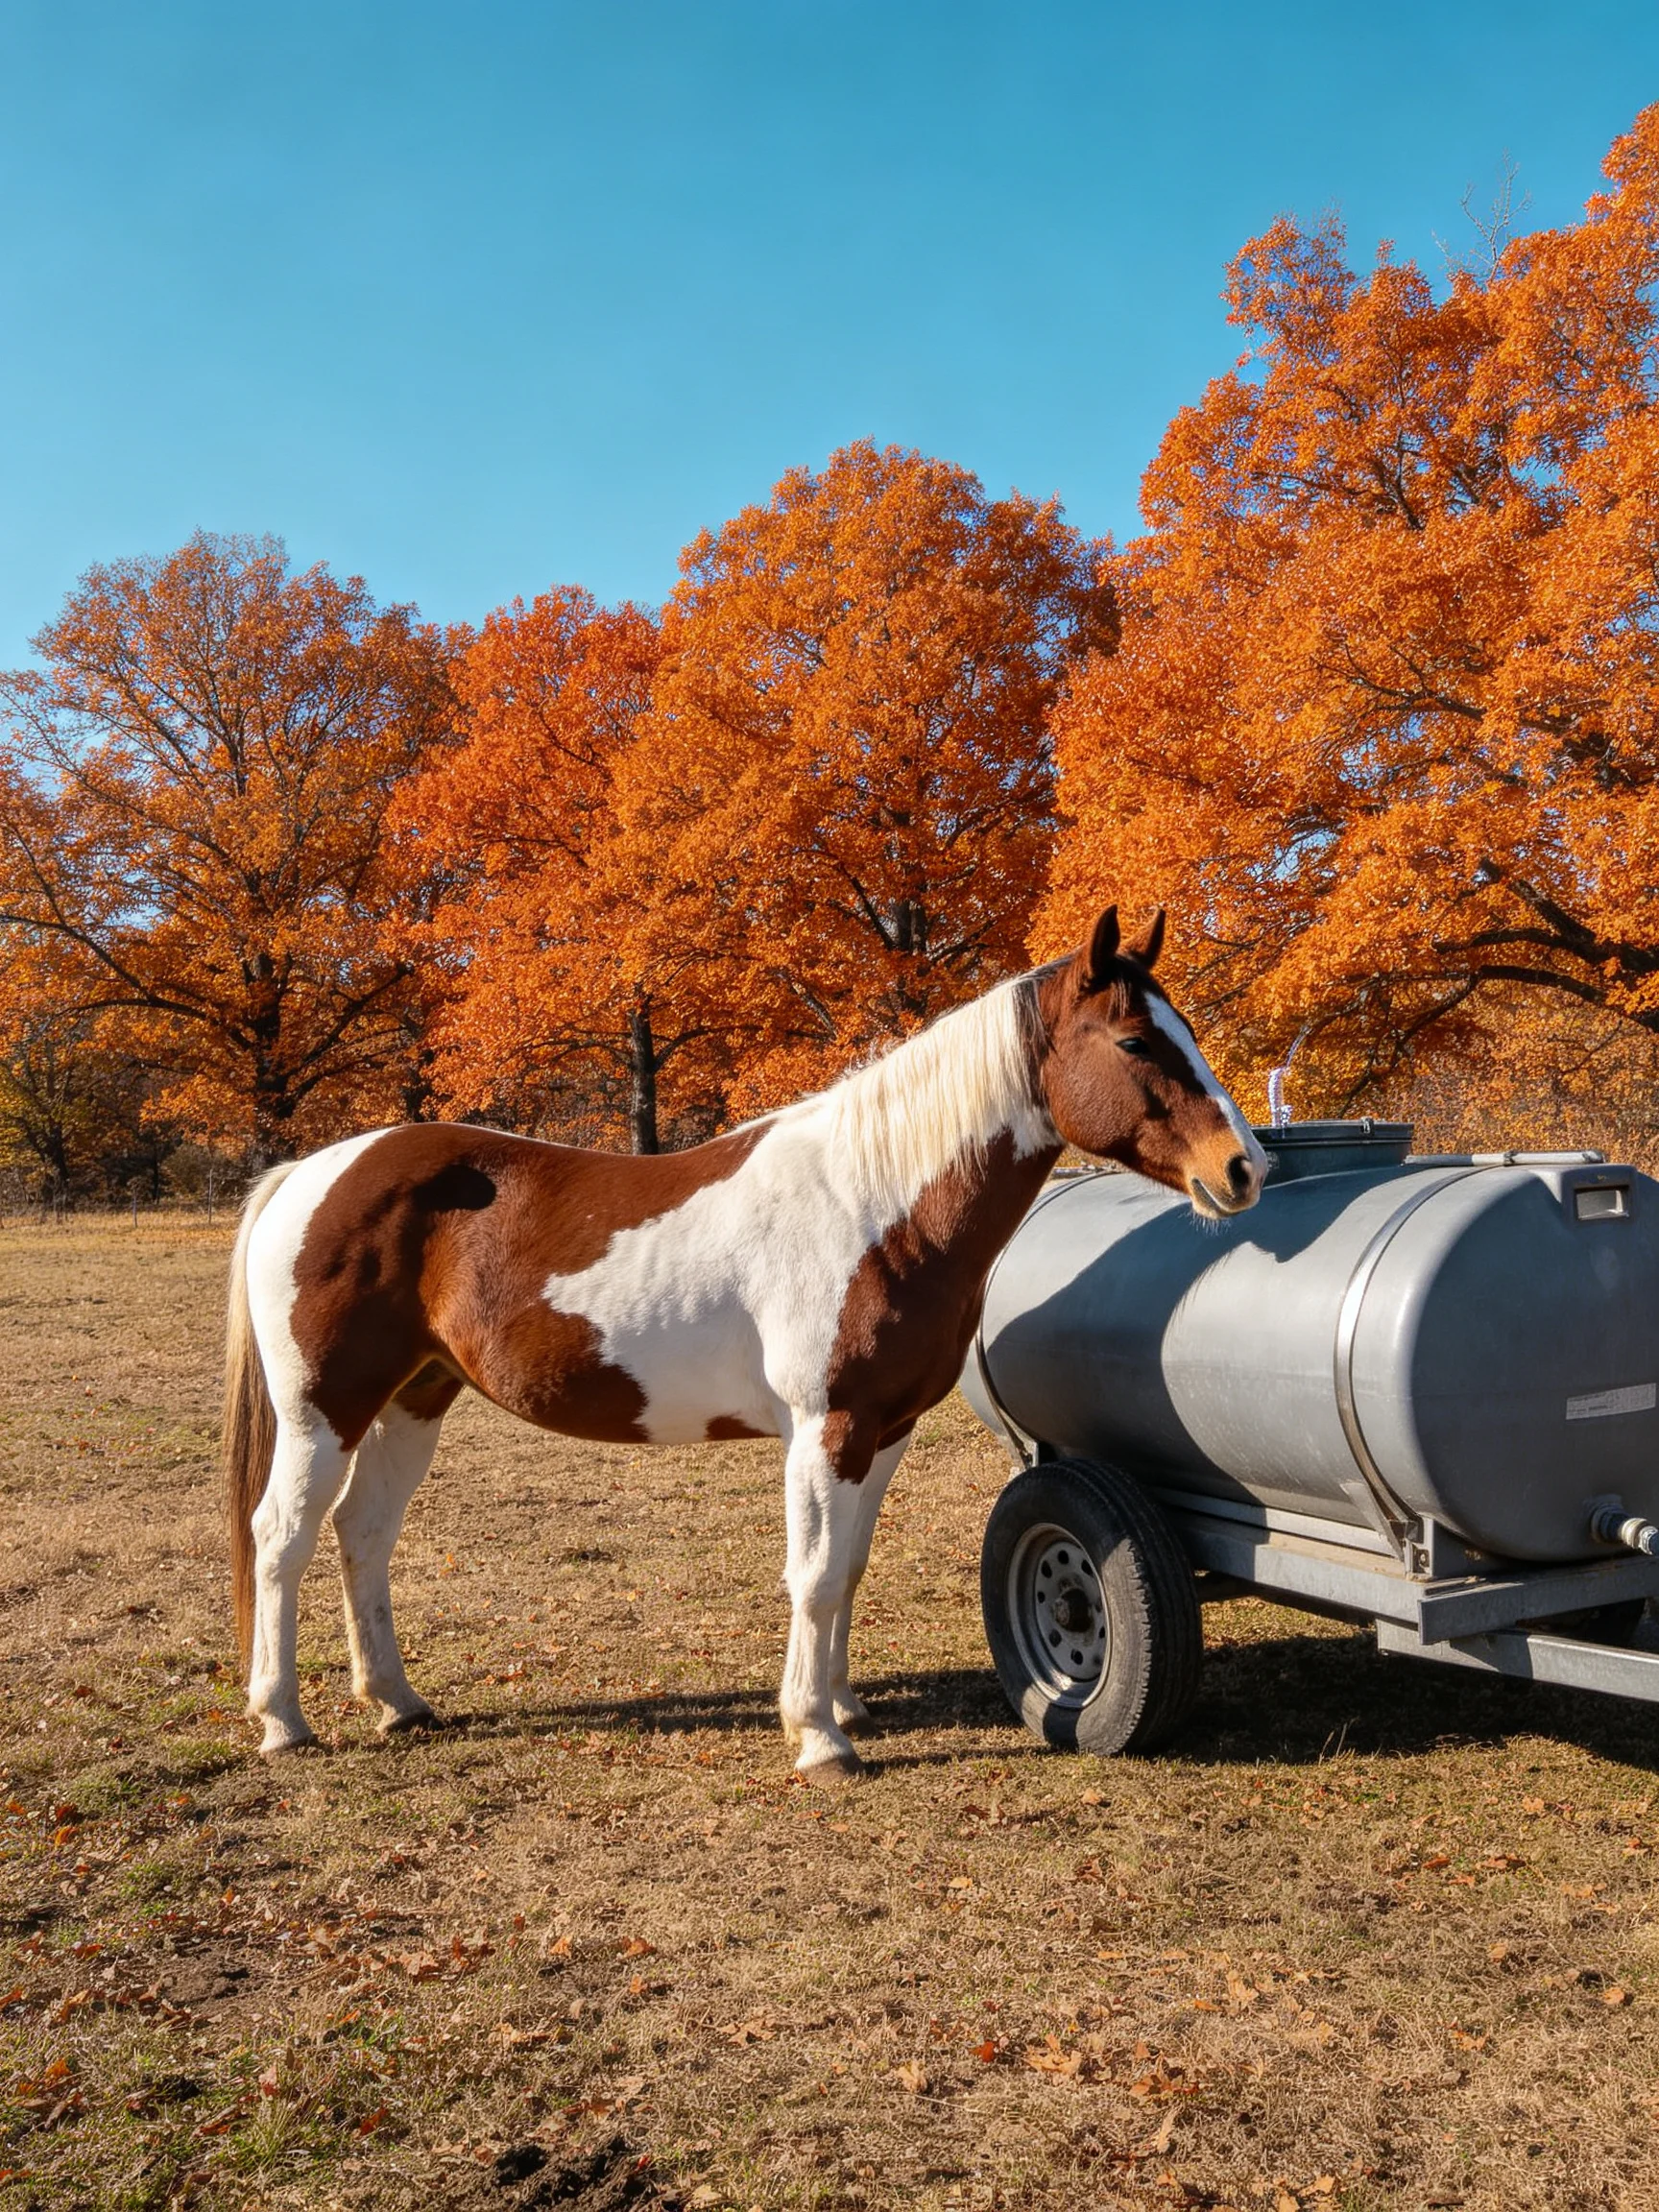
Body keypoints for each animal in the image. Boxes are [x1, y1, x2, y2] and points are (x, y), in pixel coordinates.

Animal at [223, 905, 1265, 1778]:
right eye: (1134, 1040)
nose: (1244, 1168)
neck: (876, 1206)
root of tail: (310, 1173)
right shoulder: (824, 1427)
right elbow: (812, 1573)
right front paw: (818, 1738)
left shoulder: (882, 1431)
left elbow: (848, 1567)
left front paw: (843, 1704)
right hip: (325, 1410)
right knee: (281, 1537)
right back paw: (282, 1720)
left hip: (412, 1399)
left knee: (362, 1534)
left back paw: (398, 1703)